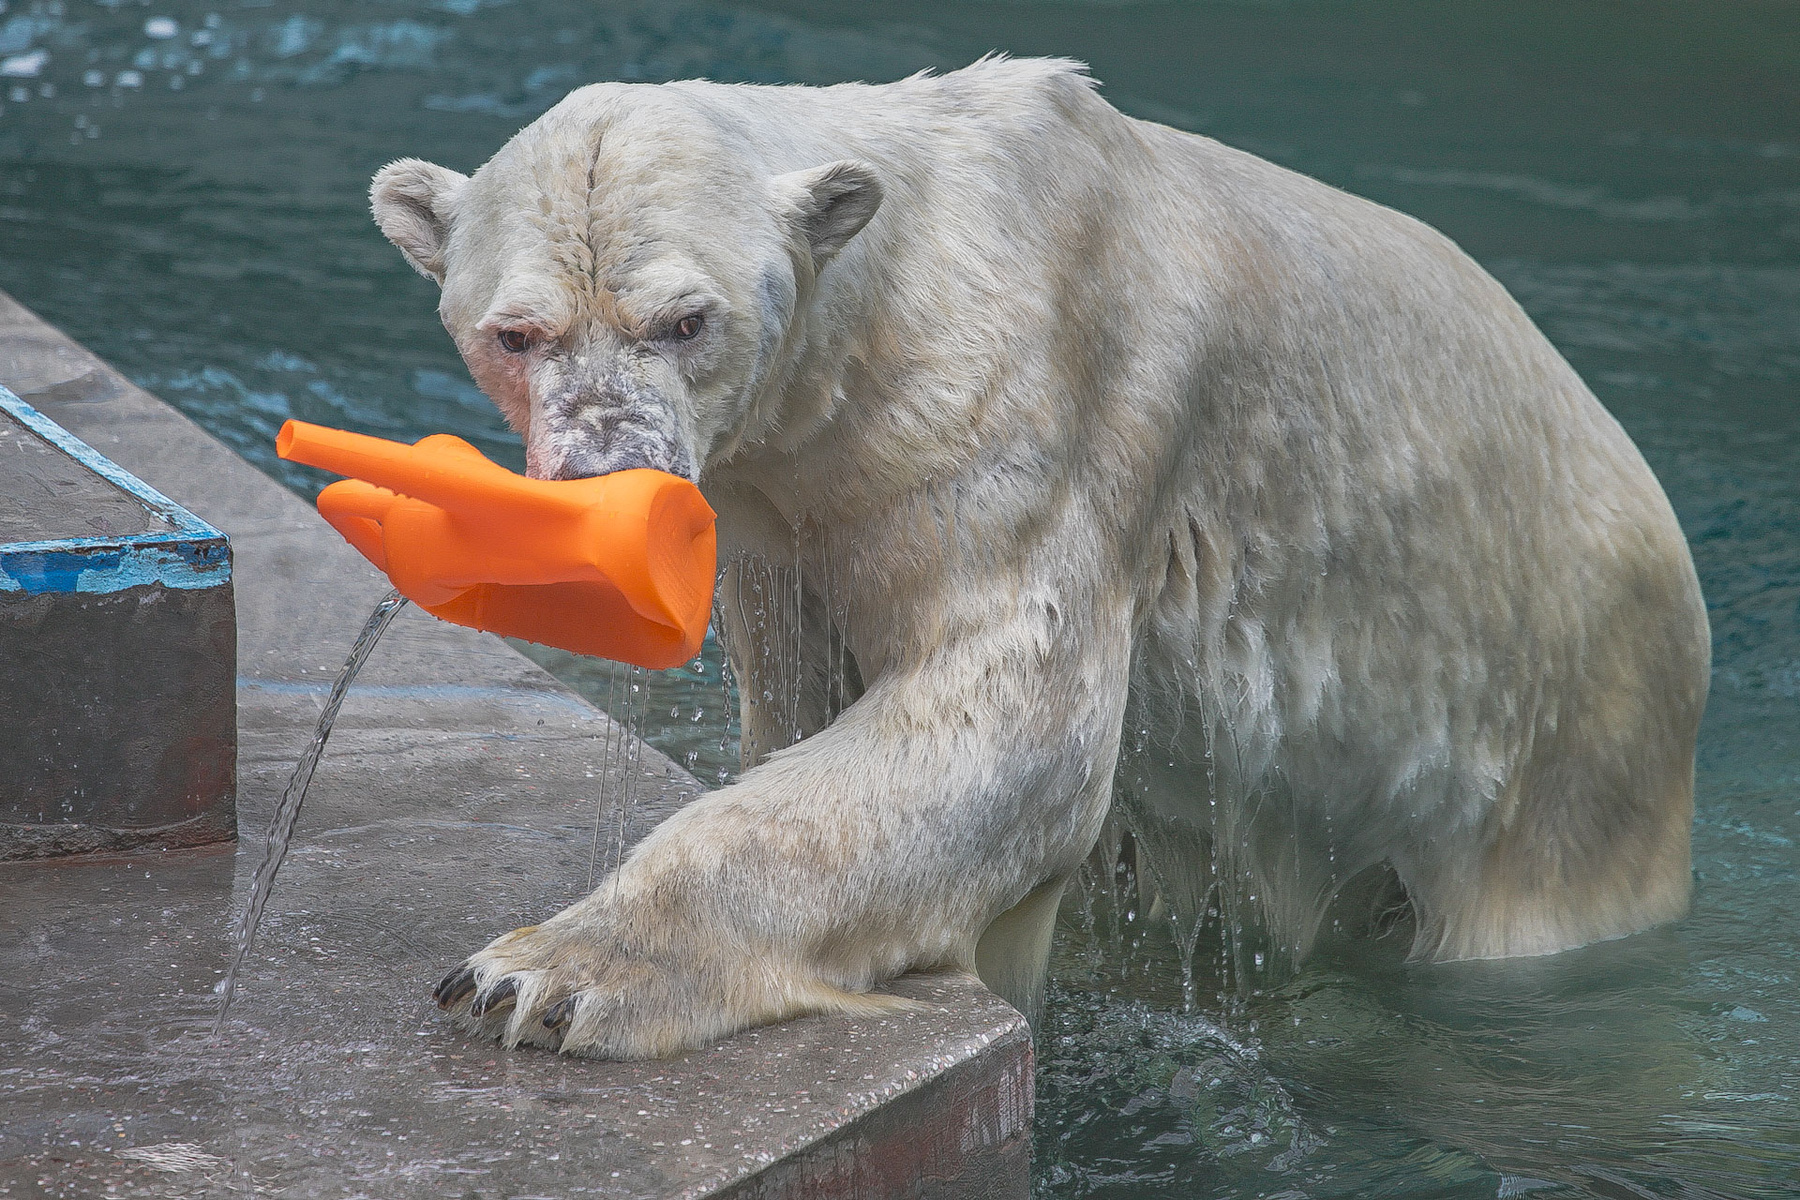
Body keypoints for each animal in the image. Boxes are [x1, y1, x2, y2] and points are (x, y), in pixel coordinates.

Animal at [368, 57, 1709, 1060]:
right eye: (516, 333)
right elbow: (818, 711)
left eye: (686, 320)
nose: (603, 476)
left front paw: (541, 974)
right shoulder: (784, 520)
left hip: (1570, 725)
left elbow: (1010, 728)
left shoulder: (1009, 411)